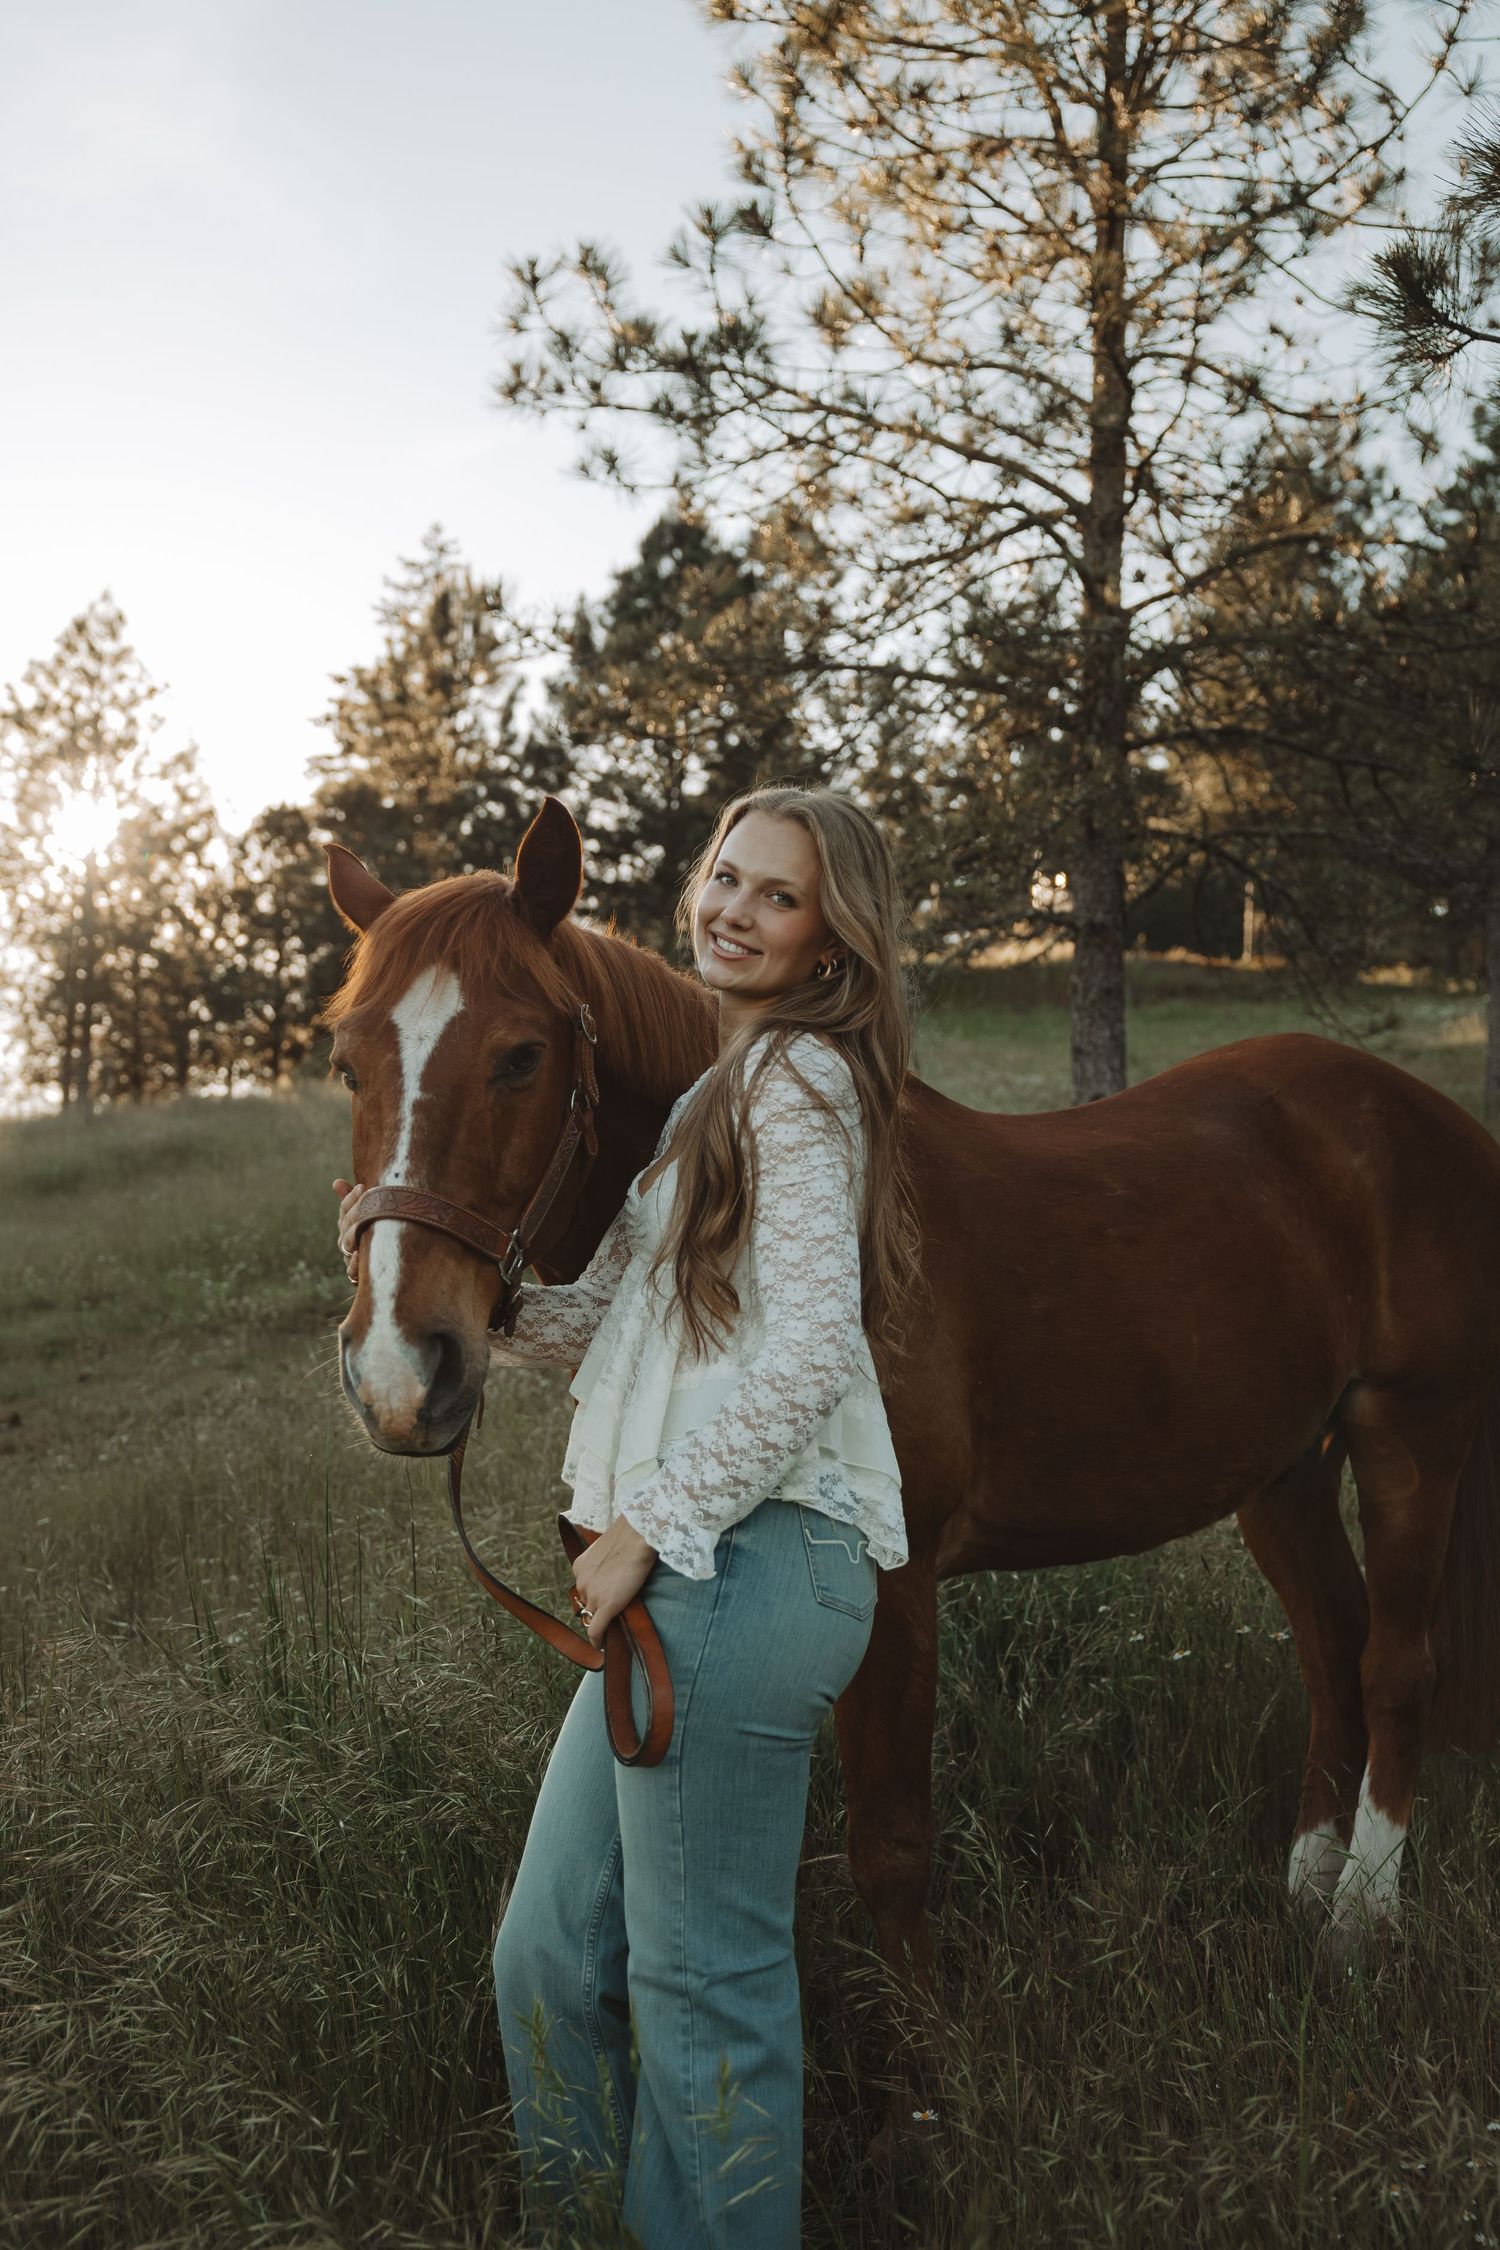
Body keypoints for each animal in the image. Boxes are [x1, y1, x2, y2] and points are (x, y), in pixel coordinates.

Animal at [323, 795, 1500, 2060]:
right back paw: (1302, 1889)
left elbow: (890, 1849)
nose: (402, 1371)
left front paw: (931, 2061)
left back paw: (1360, 1922)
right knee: (1332, 1646)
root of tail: (1426, 1117)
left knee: (1393, 1664)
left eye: (522, 1057)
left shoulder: (893, 1583)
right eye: (347, 1064)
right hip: (1281, 1469)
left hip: (1412, 1436)